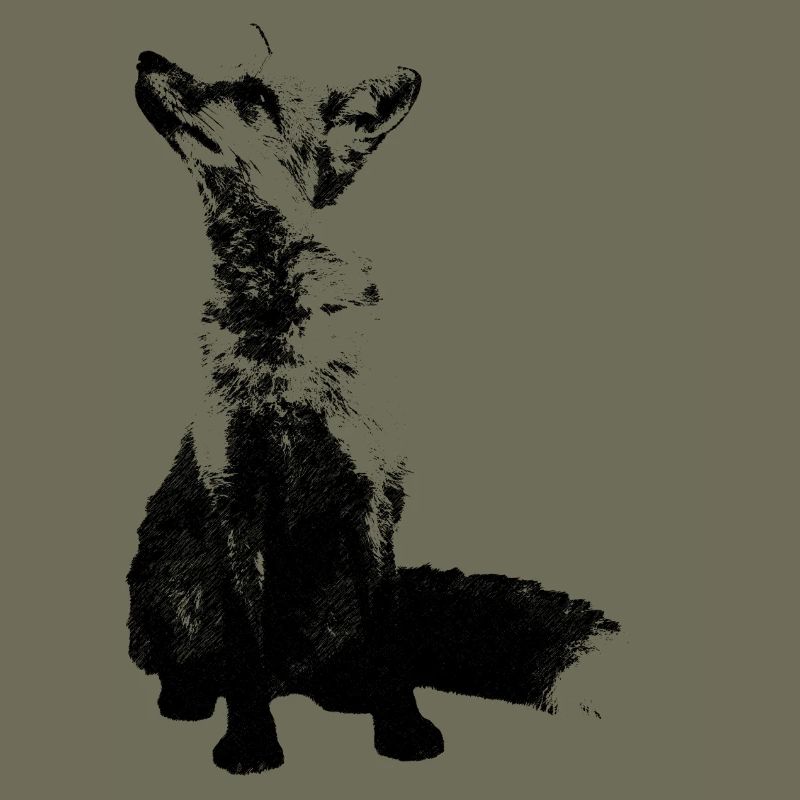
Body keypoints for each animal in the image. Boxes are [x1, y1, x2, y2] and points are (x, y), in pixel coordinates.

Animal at [128, 25, 620, 775]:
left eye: (253, 95)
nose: (146, 57)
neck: (285, 355)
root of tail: (296, 674)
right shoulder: (234, 493)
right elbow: (243, 645)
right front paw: (251, 742)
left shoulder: (368, 494)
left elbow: (390, 640)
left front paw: (402, 730)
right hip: (169, 589)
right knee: (191, 660)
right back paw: (189, 695)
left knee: (341, 661)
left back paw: (343, 694)